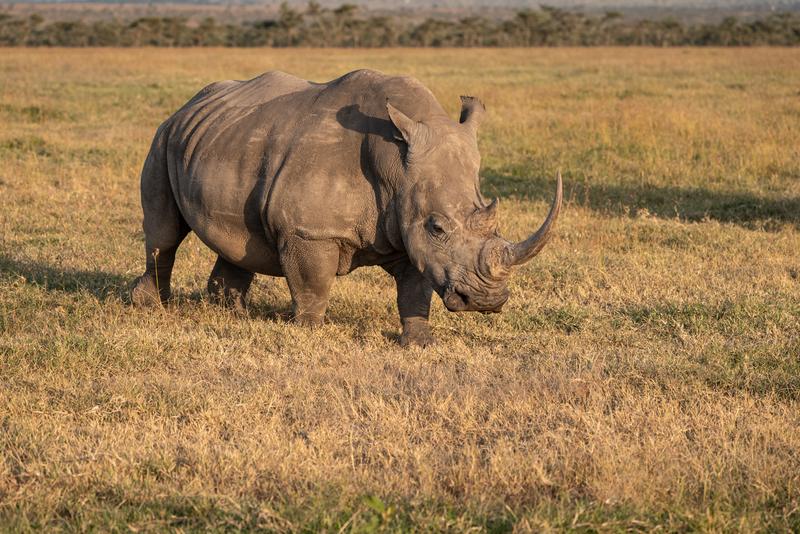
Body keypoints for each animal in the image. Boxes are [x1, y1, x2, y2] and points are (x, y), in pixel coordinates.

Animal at [132, 69, 561, 347]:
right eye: (438, 227)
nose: (487, 301)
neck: (395, 165)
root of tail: (188, 105)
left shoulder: (408, 229)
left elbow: (416, 289)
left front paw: (420, 343)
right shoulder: (310, 231)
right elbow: (312, 284)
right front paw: (308, 332)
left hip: (221, 141)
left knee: (237, 240)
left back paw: (232, 315)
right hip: (163, 138)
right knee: (164, 235)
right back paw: (151, 307)